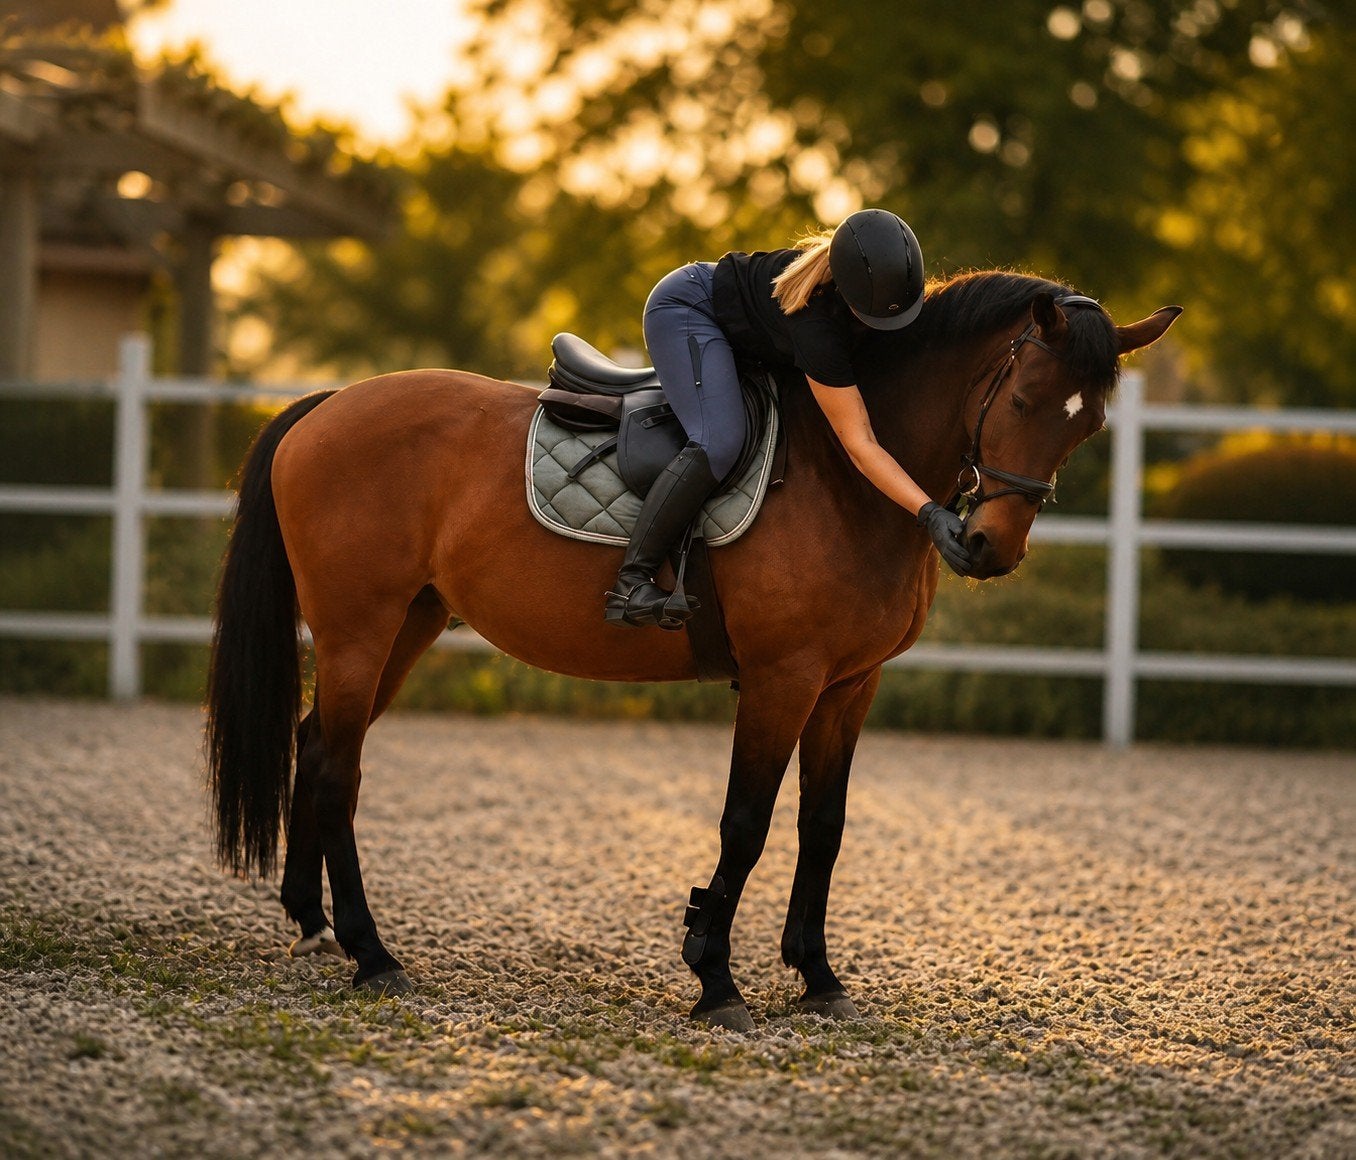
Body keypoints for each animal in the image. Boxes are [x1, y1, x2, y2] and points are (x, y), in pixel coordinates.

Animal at [206, 271, 1180, 1030]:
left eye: (1088, 426)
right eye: (1020, 400)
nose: (987, 548)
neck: (845, 476)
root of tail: (328, 405)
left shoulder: (849, 688)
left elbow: (823, 827)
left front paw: (817, 976)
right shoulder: (784, 680)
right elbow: (745, 824)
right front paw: (714, 975)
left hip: (405, 624)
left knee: (318, 748)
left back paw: (313, 921)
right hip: (359, 629)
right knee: (337, 769)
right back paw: (373, 955)